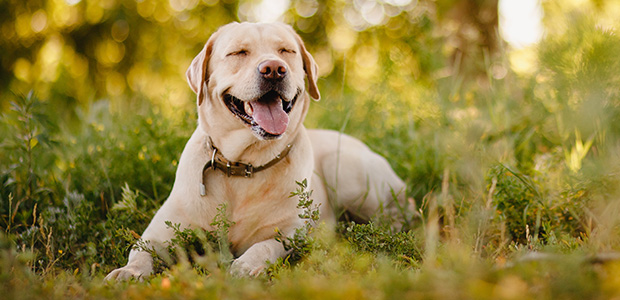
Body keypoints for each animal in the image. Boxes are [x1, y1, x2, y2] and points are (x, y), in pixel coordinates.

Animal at [104, 22, 410, 280]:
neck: (242, 165)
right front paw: (127, 272)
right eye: (239, 52)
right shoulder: (159, 232)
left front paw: (246, 266)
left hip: (348, 171)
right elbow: (140, 251)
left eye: (285, 51)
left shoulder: (289, 233)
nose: (274, 69)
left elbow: (264, 246)